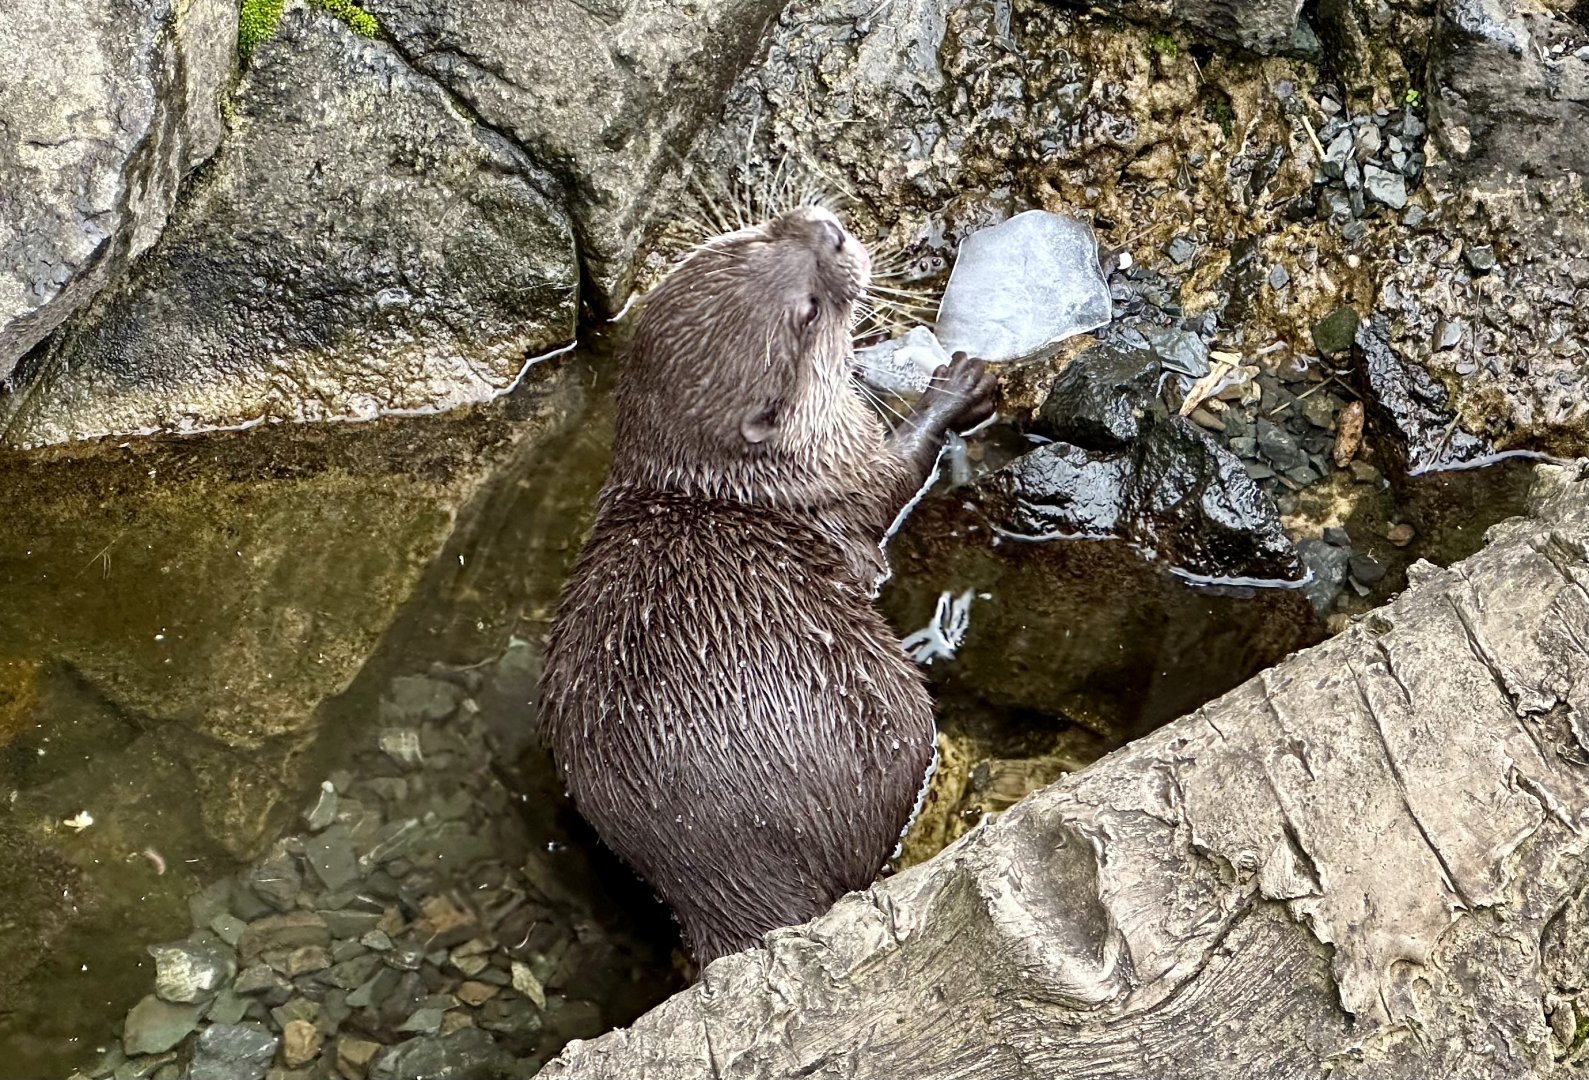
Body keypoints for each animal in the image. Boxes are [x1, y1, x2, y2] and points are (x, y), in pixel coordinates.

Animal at [539, 204, 996, 965]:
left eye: (759, 235)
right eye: (807, 312)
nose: (826, 230)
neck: (739, 477)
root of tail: (737, 887)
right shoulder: (850, 470)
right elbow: (904, 467)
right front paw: (956, 388)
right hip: (889, 717)